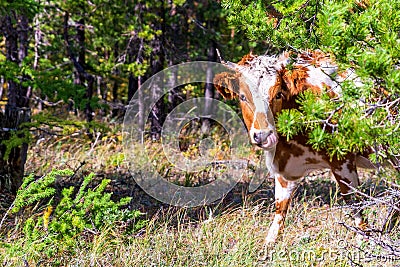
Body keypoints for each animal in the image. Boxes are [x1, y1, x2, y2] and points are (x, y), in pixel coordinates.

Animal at [212, 50, 376, 245]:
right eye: (243, 96)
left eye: (278, 94)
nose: (263, 135)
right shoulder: (284, 168)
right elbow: (279, 210)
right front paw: (270, 243)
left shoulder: (343, 161)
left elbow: (357, 207)